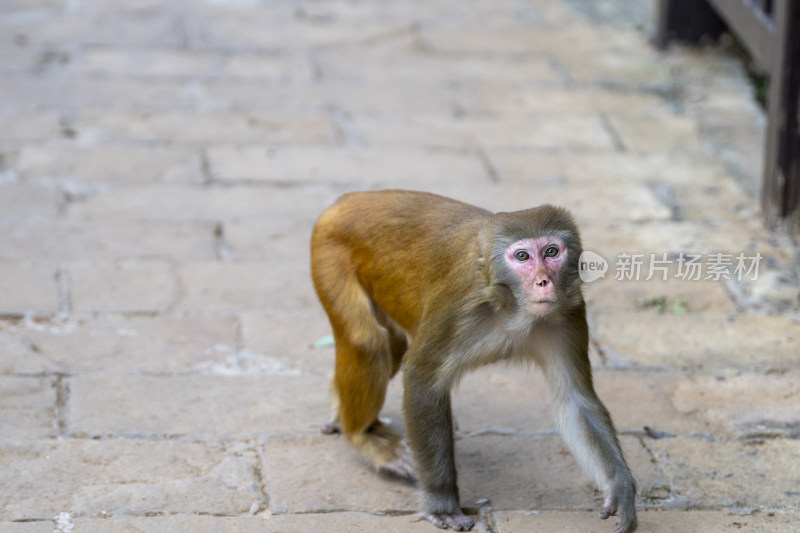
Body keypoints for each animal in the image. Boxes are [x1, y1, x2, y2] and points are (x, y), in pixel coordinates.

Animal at [310, 190, 636, 532]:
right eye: (522, 257)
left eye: (551, 252)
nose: (544, 281)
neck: (511, 308)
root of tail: (349, 199)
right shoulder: (461, 307)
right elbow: (422, 379)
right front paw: (441, 502)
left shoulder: (569, 313)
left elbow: (575, 401)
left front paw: (620, 488)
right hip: (329, 252)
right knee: (369, 342)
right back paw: (361, 435)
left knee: (393, 349)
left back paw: (340, 410)